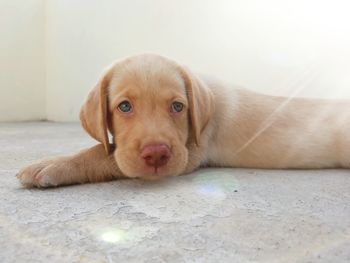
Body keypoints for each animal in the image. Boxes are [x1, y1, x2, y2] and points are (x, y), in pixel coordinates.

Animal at [17, 54, 350, 189]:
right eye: (124, 106)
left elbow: (103, 154)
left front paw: (53, 165)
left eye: (178, 106)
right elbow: (107, 149)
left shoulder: (190, 153)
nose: (156, 155)